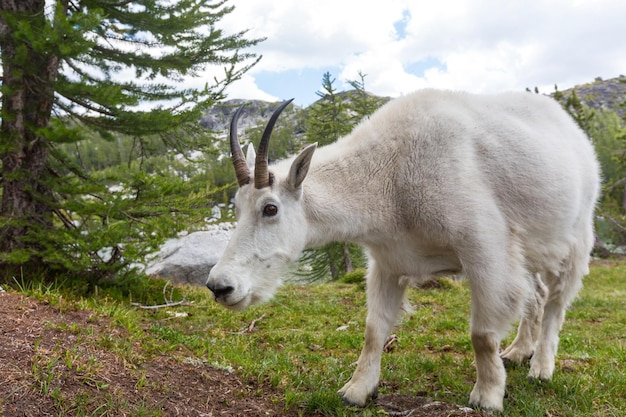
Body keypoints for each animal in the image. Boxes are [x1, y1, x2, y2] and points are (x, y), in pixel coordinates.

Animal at [206, 89, 600, 412]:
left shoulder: (485, 250)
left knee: (556, 302)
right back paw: (519, 351)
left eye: (270, 208)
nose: (219, 286)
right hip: (529, 251)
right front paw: (356, 391)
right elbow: (374, 329)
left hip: (576, 237)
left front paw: (487, 396)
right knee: (537, 294)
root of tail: (575, 133)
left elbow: (482, 335)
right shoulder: (388, 262)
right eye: (237, 207)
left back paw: (541, 367)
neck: (389, 177)